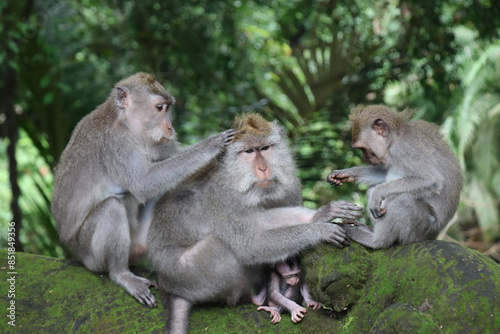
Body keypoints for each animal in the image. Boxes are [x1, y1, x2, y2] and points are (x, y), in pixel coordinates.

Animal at [51, 73, 235, 308]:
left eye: (168, 108)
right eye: (159, 108)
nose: (170, 128)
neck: (123, 121)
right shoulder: (117, 143)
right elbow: (143, 183)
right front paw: (212, 145)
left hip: (140, 240)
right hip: (88, 255)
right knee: (112, 207)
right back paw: (121, 274)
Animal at [146, 113, 362, 334]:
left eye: (265, 148)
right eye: (249, 151)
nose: (263, 168)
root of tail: (167, 284)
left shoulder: (290, 183)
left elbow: (262, 222)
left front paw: (321, 215)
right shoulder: (223, 198)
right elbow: (250, 245)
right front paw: (319, 230)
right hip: (186, 274)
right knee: (223, 249)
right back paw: (248, 298)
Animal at [326, 105, 462, 249]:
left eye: (363, 148)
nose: (365, 158)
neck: (395, 138)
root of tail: (435, 235)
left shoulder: (406, 148)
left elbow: (431, 180)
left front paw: (378, 193)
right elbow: (383, 174)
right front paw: (346, 173)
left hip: (422, 229)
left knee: (402, 199)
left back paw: (376, 241)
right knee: (374, 188)